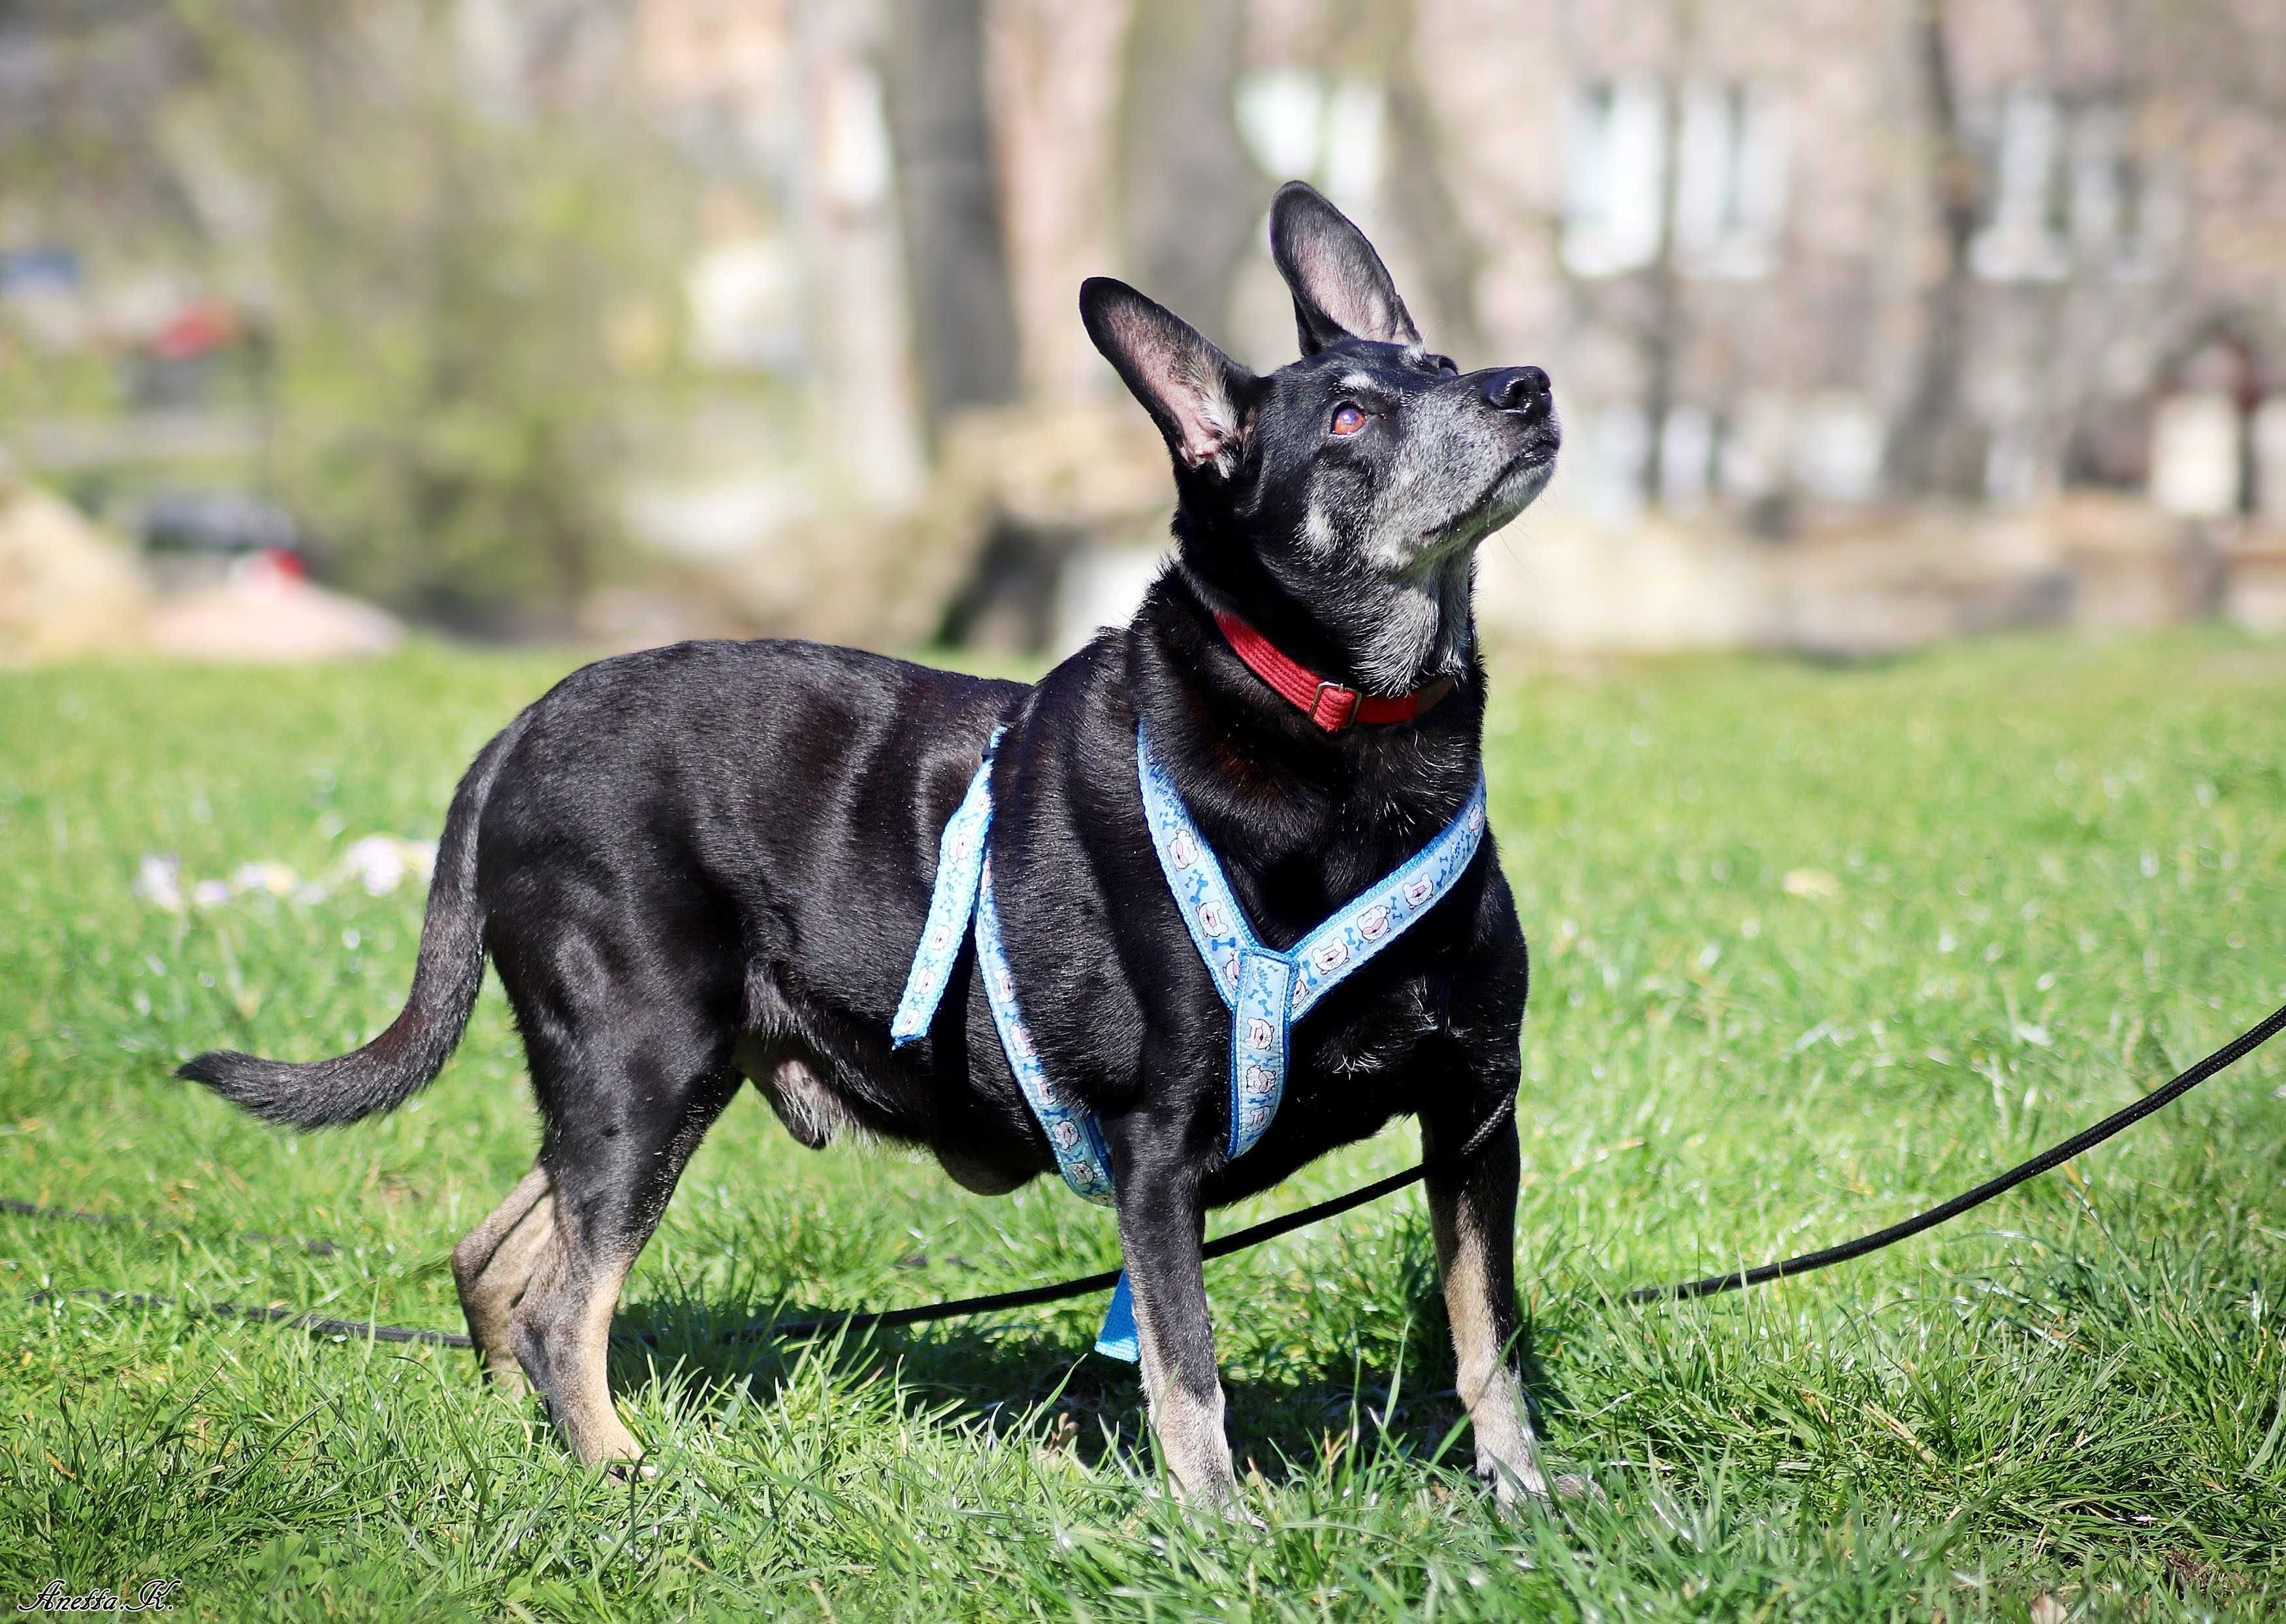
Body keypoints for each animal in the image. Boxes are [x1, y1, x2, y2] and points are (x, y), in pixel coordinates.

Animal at [187, 182, 1564, 1507]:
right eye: (1348, 419)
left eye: (1439, 362)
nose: (1526, 385)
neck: (1346, 736)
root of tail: (518, 733)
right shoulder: (1158, 1144)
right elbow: (1188, 1369)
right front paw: (1219, 1527)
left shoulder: (1474, 1108)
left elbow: (1486, 1337)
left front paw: (1526, 1499)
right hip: (642, 1063)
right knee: (561, 1299)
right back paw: (617, 1466)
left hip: (654, 1078)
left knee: (497, 1256)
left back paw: (516, 1429)